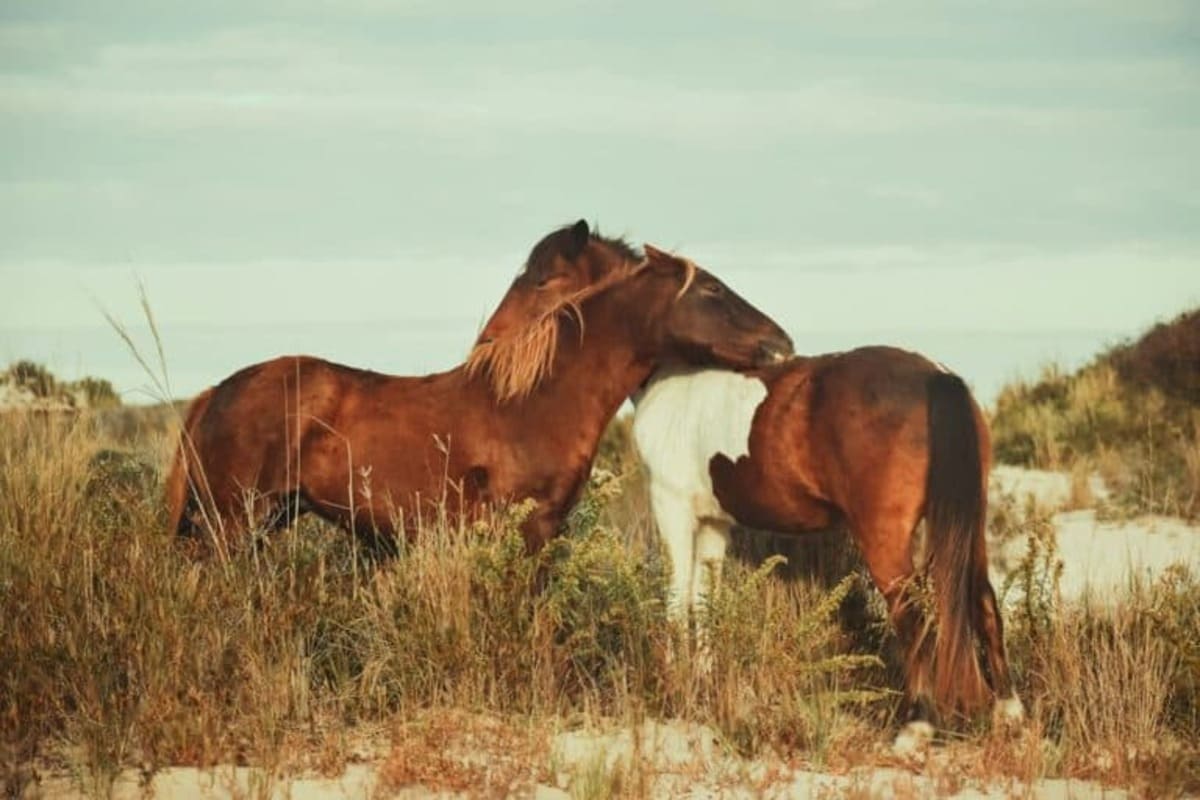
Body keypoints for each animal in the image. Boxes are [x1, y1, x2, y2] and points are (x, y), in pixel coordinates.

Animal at [165, 222, 794, 553]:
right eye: (711, 290)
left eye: (543, 280)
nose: (780, 341)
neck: (536, 401)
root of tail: (213, 393)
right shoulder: (528, 529)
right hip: (232, 525)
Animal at [631, 354, 1025, 749]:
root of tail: (936, 376)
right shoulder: (713, 522)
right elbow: (703, 601)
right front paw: (701, 683)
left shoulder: (672, 506)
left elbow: (677, 601)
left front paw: (674, 686)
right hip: (969, 525)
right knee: (984, 604)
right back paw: (1008, 711)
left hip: (887, 543)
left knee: (912, 619)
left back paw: (917, 725)